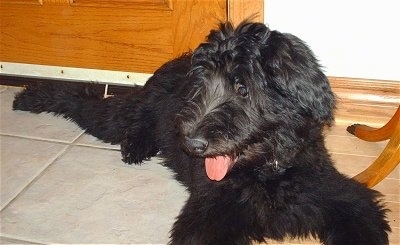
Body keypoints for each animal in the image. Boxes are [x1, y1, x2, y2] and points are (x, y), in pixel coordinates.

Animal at [13, 22, 390, 244]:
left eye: (242, 88)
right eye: (201, 86)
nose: (191, 143)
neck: (264, 173)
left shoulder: (345, 199)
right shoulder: (207, 215)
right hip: (120, 115)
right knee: (89, 102)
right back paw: (31, 96)